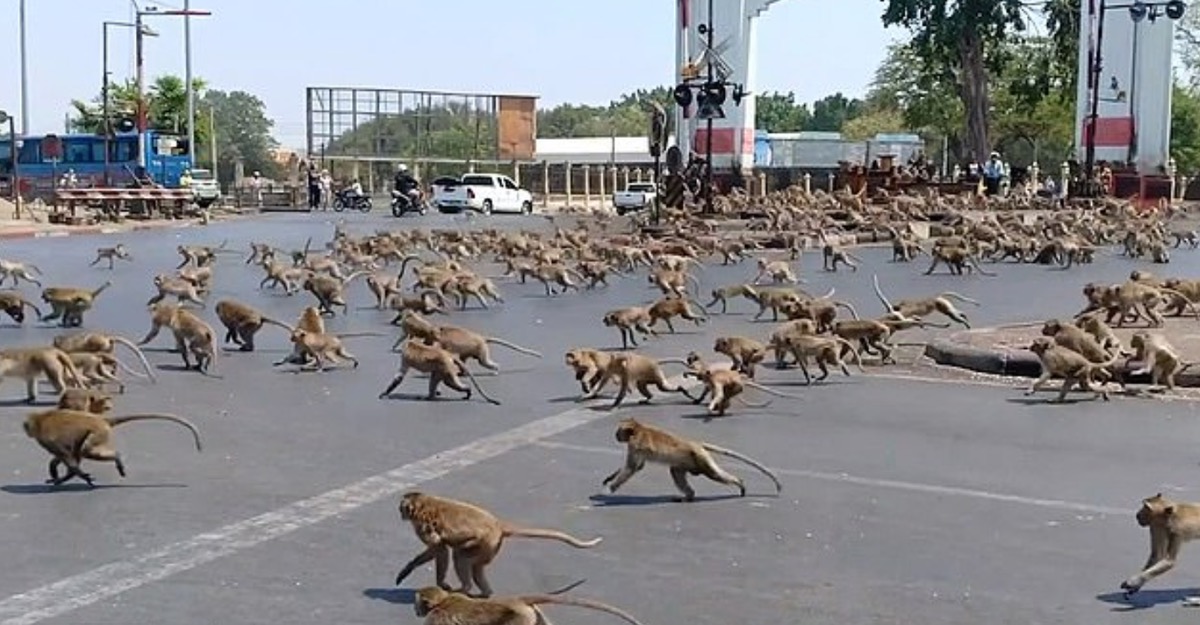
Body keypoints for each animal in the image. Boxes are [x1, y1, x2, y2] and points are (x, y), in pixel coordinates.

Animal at [23, 407, 202, 487]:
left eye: (27, 427)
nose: (26, 431)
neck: (40, 419)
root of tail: (101, 420)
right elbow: (67, 455)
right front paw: (57, 474)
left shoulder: (46, 440)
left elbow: (68, 456)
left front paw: (75, 476)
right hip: (99, 432)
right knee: (81, 450)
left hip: (99, 432)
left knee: (87, 450)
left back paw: (117, 457)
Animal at [393, 491, 602, 598]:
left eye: (401, 508)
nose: (400, 513)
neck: (422, 503)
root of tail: (497, 524)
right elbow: (438, 549)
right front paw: (408, 569)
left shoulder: (421, 525)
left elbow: (439, 547)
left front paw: (440, 583)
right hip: (491, 548)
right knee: (474, 565)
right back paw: (485, 593)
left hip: (486, 542)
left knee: (460, 556)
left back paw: (465, 589)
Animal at [602, 418, 782, 501]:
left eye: (618, 431)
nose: (615, 435)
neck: (638, 429)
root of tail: (694, 443)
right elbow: (636, 467)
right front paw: (609, 478)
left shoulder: (635, 445)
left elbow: (632, 468)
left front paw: (610, 488)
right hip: (688, 461)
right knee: (676, 471)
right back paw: (689, 496)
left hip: (701, 459)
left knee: (715, 475)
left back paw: (740, 483)